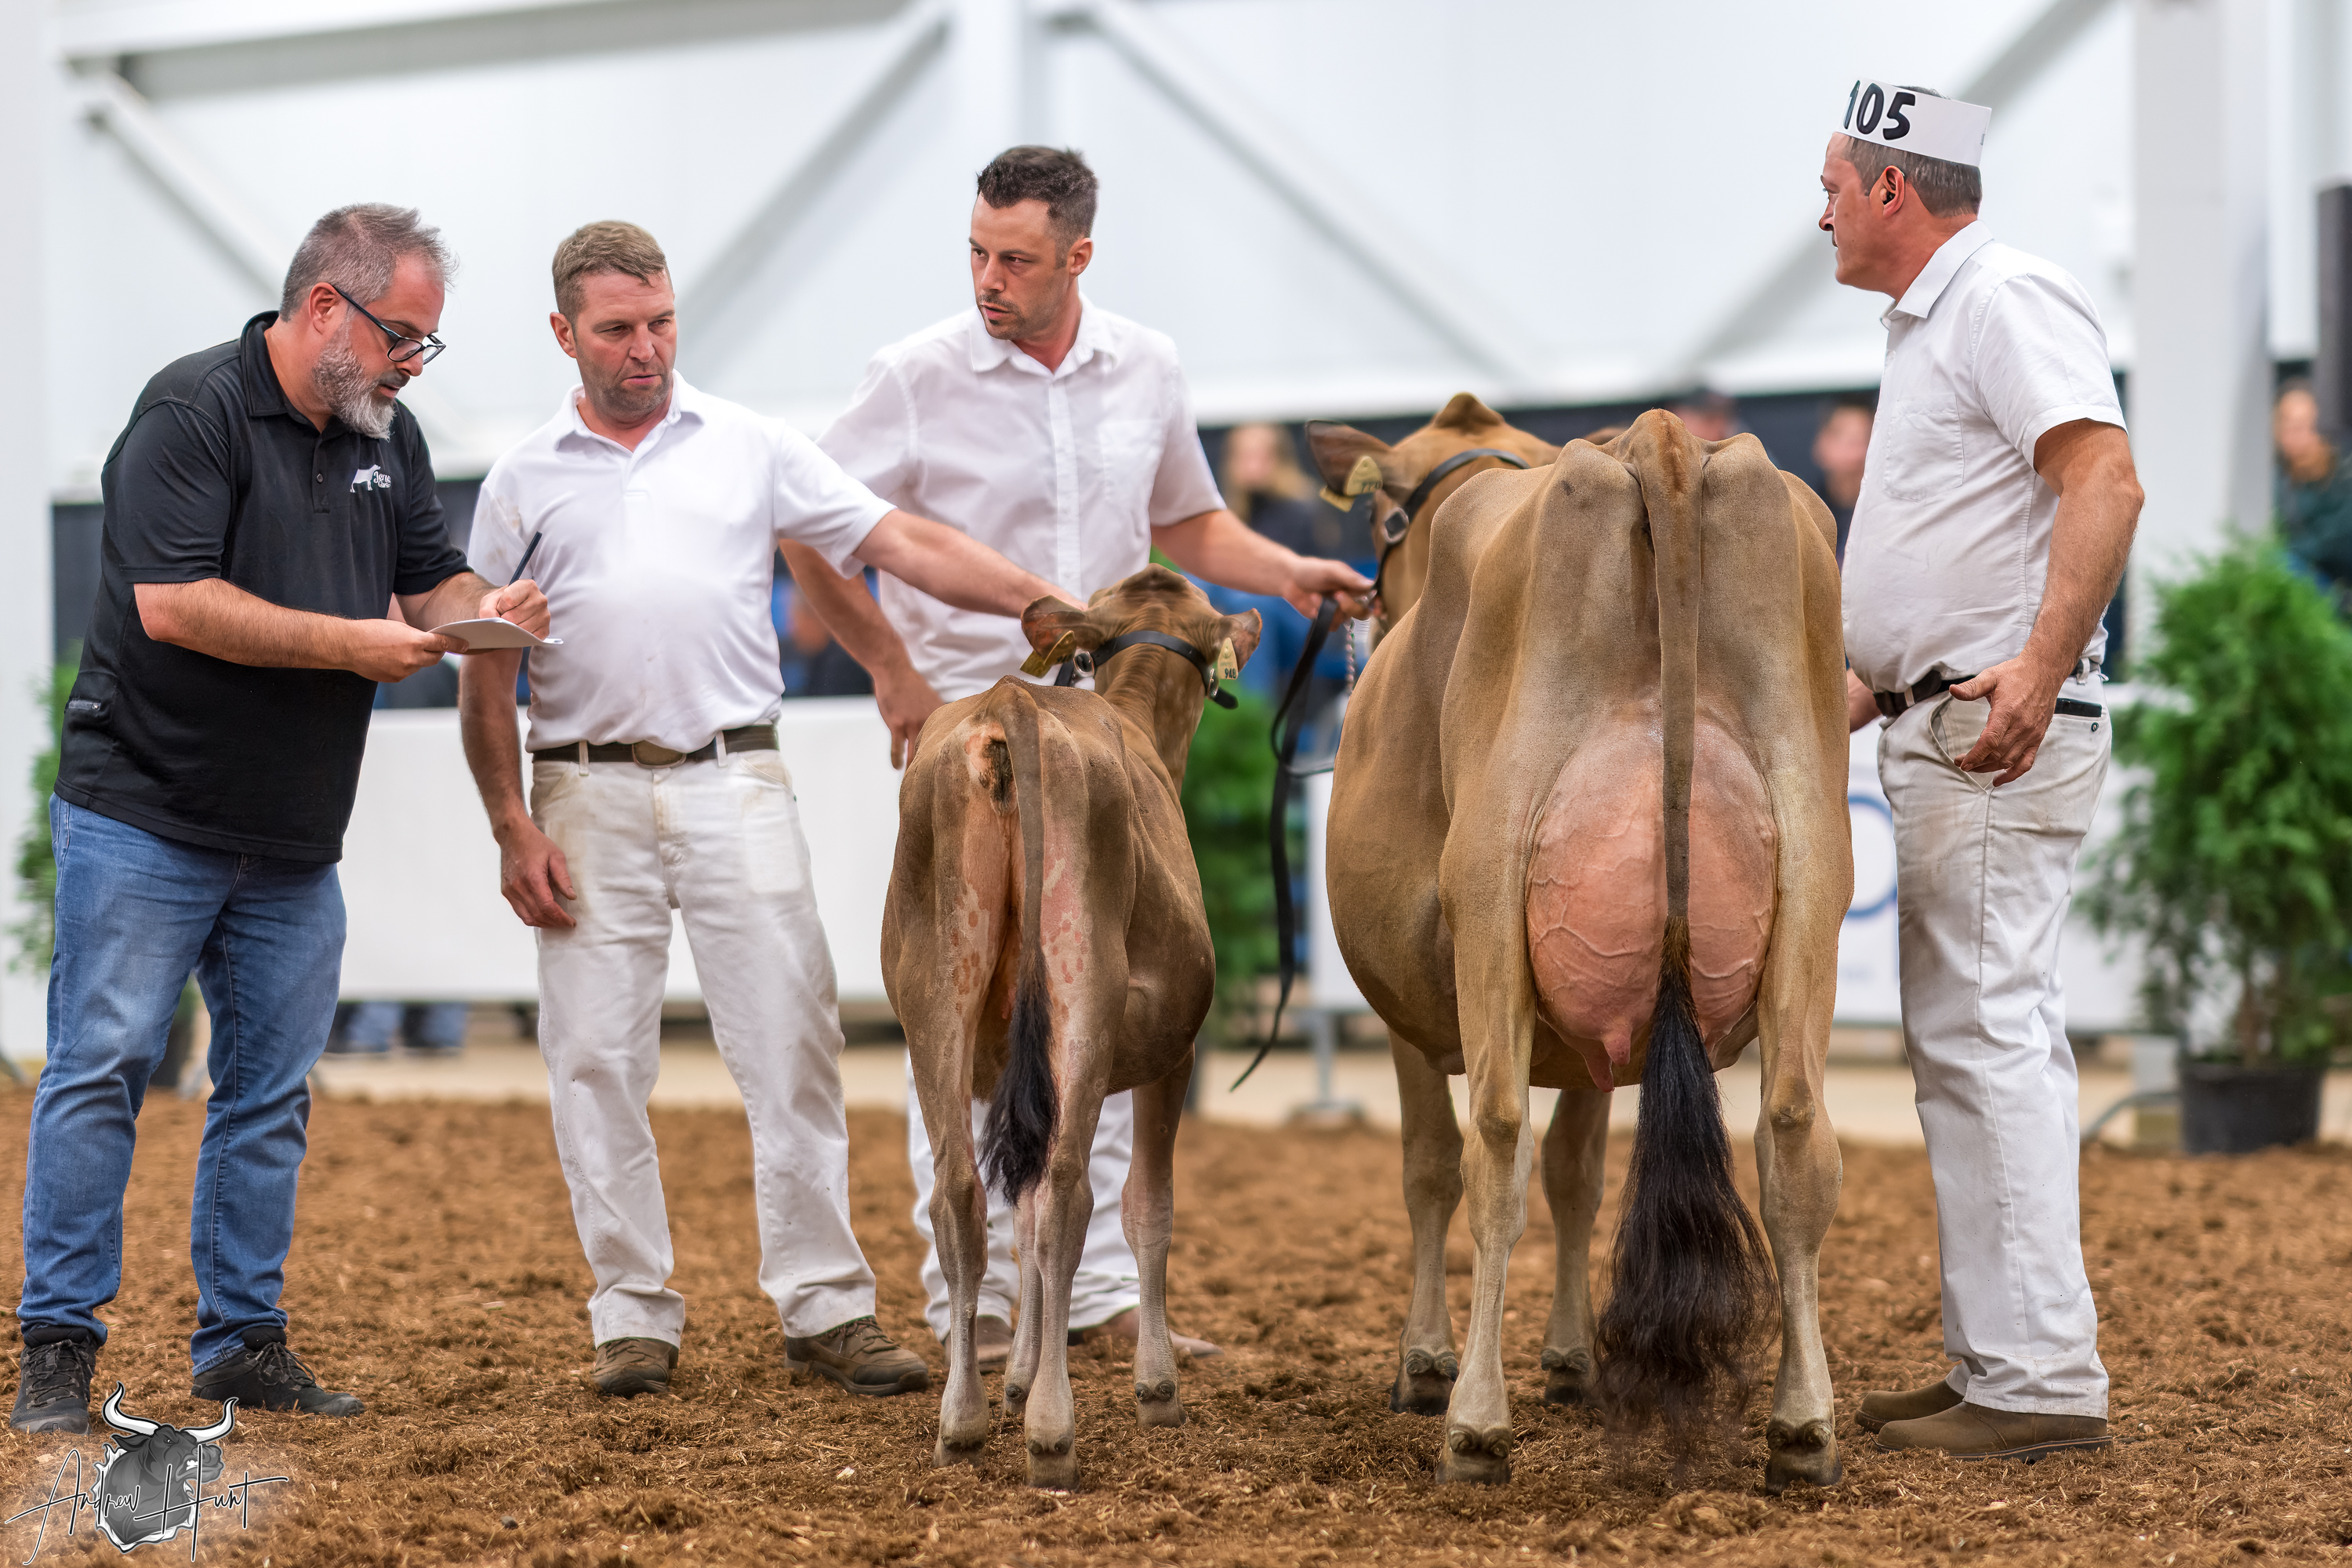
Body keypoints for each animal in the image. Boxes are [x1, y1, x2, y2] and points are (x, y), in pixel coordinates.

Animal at [883, 565, 1260, 1489]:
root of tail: (1011, 705)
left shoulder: (1000, 1078)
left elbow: (1014, 1223)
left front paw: (1016, 1378)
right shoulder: (1174, 1055)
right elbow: (1149, 1207)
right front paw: (1156, 1387)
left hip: (935, 997)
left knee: (963, 1195)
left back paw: (964, 1419)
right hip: (1083, 995)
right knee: (1067, 1191)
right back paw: (1053, 1433)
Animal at [1315, 404, 1851, 1491]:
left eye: (1386, 519)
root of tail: (1661, 440)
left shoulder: (1411, 1010)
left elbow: (1434, 1166)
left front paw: (1425, 1361)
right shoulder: (1603, 1036)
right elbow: (1580, 1173)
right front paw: (1570, 1355)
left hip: (1489, 893)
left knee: (1494, 1144)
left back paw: (1474, 1424)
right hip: (1816, 887)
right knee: (1792, 1135)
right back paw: (1803, 1424)